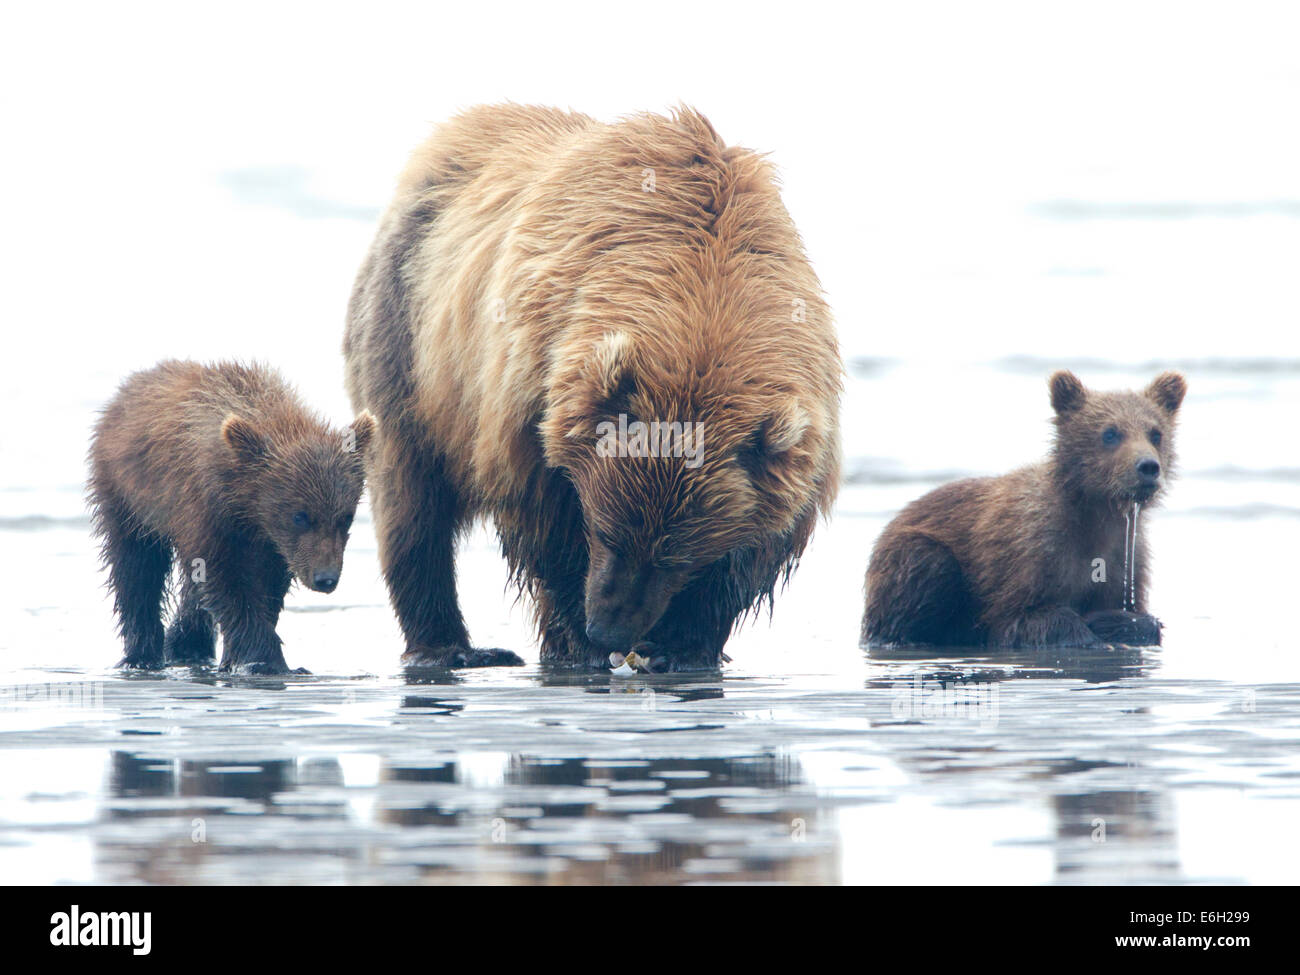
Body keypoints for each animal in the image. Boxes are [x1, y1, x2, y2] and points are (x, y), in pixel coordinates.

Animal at [88, 360, 375, 674]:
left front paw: (240, 655)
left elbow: (268, 583)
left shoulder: (271, 542)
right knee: (136, 569)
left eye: (346, 517)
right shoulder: (204, 511)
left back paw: (188, 646)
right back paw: (143, 654)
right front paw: (266, 659)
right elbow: (229, 584)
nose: (326, 578)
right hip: (128, 496)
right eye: (299, 516)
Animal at [344, 104, 842, 672]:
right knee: (412, 503)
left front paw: (681, 645)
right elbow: (545, 521)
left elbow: (753, 552)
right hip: (410, 340)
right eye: (608, 533)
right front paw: (577, 642)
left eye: (680, 556)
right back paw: (449, 646)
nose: (608, 627)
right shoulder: (532, 389)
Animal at [861, 370, 1187, 650]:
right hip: (912, 556)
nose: (1148, 467)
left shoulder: (1127, 556)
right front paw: (1091, 631)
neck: (1096, 513)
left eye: (1155, 433)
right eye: (1110, 433)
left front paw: (1114, 622)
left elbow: (1138, 613)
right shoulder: (1027, 550)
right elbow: (1018, 619)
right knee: (926, 569)